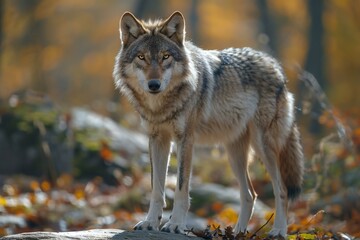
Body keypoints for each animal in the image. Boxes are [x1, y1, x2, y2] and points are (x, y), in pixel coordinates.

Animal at [112, 10, 304, 236]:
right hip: (234, 154)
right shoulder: (157, 140)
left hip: (263, 146)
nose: (154, 85)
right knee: (250, 194)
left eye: (165, 57)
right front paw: (150, 222)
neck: (161, 106)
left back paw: (279, 231)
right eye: (141, 57)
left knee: (281, 190)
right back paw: (237, 233)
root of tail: (275, 66)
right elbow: (156, 188)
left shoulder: (185, 140)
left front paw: (176, 224)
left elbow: (181, 187)